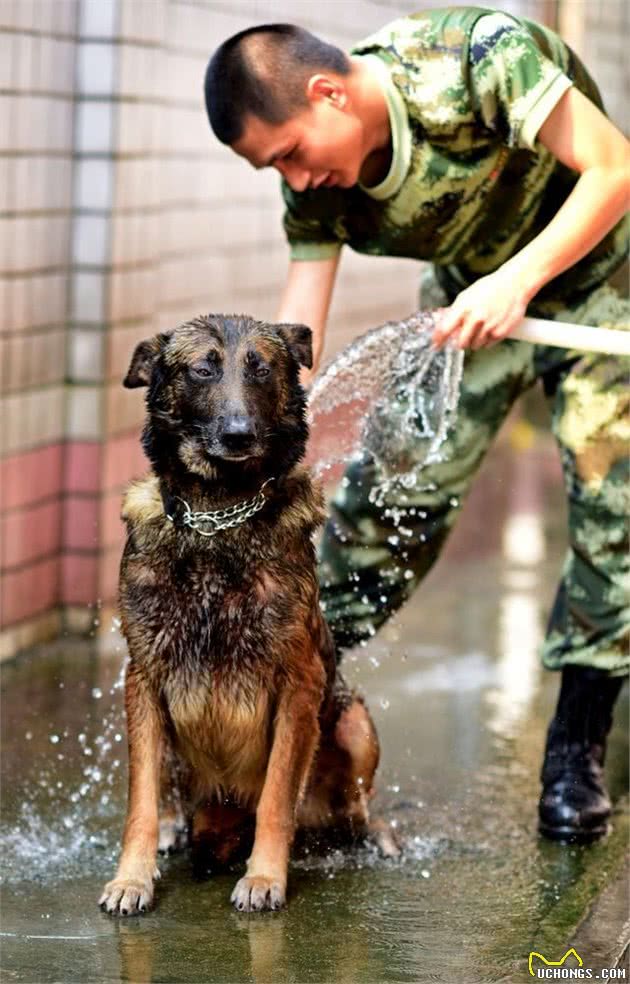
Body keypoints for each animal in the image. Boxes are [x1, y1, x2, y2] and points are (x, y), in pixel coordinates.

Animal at [100, 316, 390, 916]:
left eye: (260, 368)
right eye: (202, 369)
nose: (238, 434)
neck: (218, 520)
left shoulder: (299, 684)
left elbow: (277, 797)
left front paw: (264, 877)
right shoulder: (144, 679)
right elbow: (140, 803)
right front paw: (132, 879)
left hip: (354, 722)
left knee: (354, 807)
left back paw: (372, 836)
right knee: (169, 796)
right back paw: (176, 828)